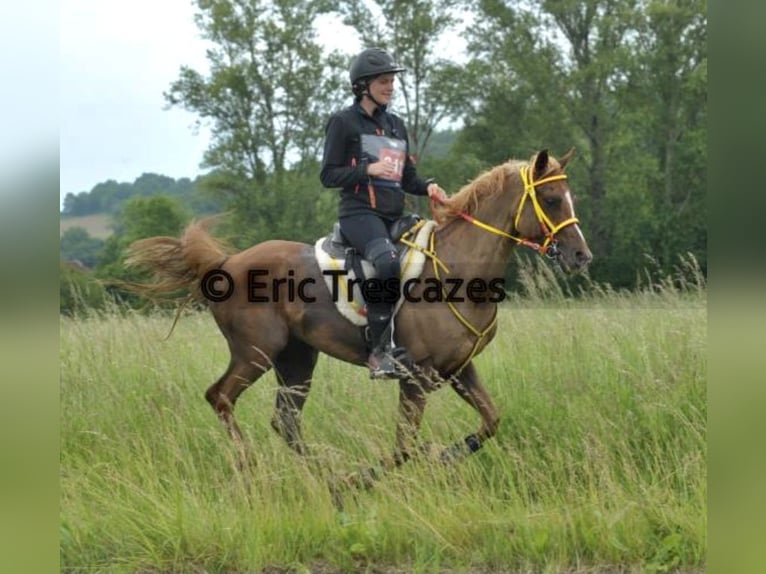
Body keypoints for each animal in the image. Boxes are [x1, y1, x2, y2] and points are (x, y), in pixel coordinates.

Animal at [126, 148, 592, 496]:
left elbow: (491, 420)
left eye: (570, 197)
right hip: (255, 352)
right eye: (552, 200)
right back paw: (254, 466)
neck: (460, 269)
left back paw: (323, 474)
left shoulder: (459, 368)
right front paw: (363, 478)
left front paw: (441, 457)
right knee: (221, 397)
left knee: (285, 421)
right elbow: (405, 447)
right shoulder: (416, 378)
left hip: (297, 358)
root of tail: (225, 263)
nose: (580, 256)